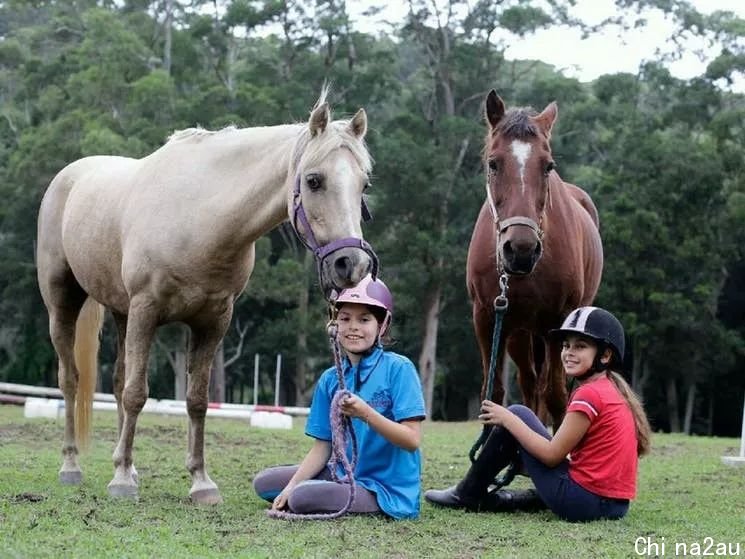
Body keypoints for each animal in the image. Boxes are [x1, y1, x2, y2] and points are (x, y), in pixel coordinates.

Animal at [37, 91, 374, 504]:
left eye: (363, 184)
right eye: (314, 180)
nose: (352, 263)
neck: (200, 216)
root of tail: (69, 176)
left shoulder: (213, 321)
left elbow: (196, 400)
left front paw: (200, 482)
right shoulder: (147, 310)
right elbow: (137, 393)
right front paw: (121, 481)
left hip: (121, 313)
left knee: (115, 382)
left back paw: (126, 464)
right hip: (63, 304)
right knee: (70, 379)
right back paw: (72, 465)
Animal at [464, 89, 604, 426]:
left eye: (548, 166)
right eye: (493, 163)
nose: (521, 249)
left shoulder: (557, 320)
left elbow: (555, 395)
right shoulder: (487, 317)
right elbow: (494, 393)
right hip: (519, 332)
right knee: (529, 385)